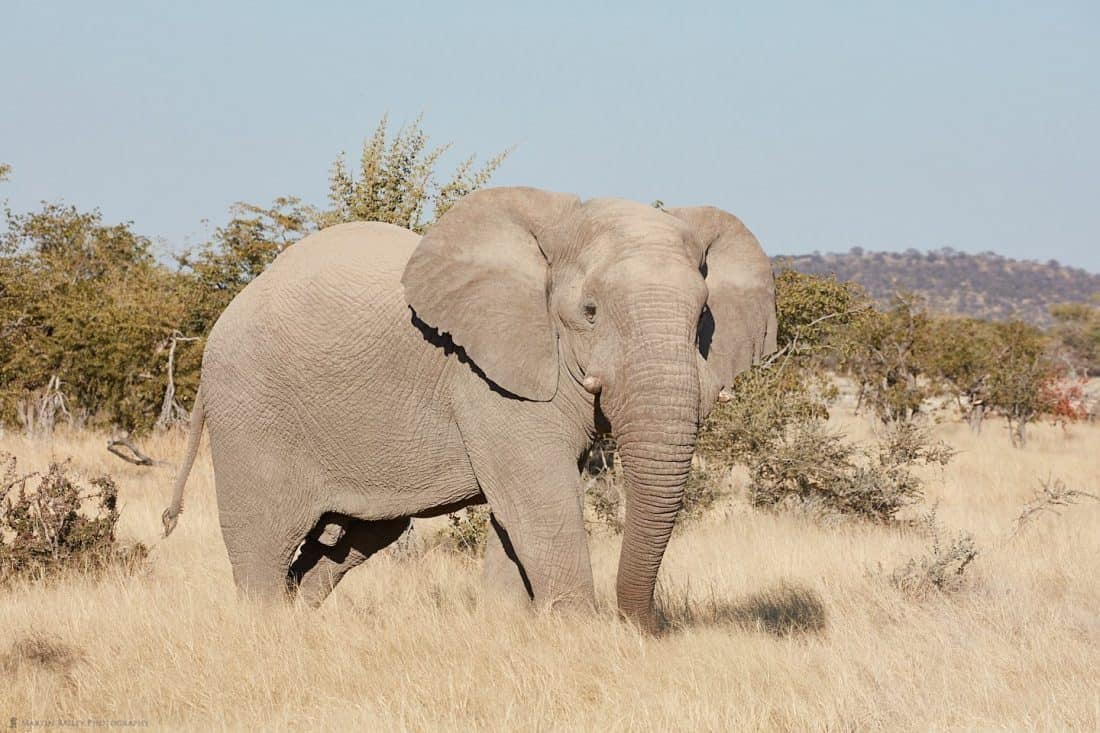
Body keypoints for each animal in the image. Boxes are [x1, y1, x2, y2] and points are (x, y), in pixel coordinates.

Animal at [162, 186, 774, 629]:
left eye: (703, 316)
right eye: (590, 311)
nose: (642, 628)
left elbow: (517, 513)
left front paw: (511, 630)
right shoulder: (487, 378)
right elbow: (541, 496)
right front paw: (578, 635)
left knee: (359, 536)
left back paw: (300, 617)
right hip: (251, 410)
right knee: (264, 541)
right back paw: (269, 629)